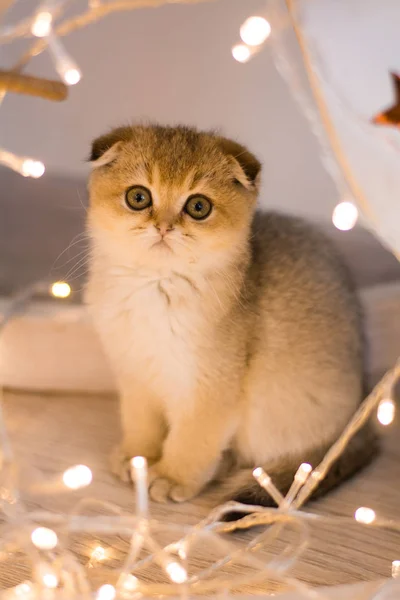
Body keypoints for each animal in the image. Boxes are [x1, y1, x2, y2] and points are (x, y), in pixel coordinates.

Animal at [86, 123, 376, 506]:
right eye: (138, 198)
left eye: (198, 206)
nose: (163, 227)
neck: (154, 287)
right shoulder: (135, 375)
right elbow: (140, 423)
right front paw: (138, 457)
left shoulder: (212, 386)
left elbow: (193, 438)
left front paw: (171, 476)